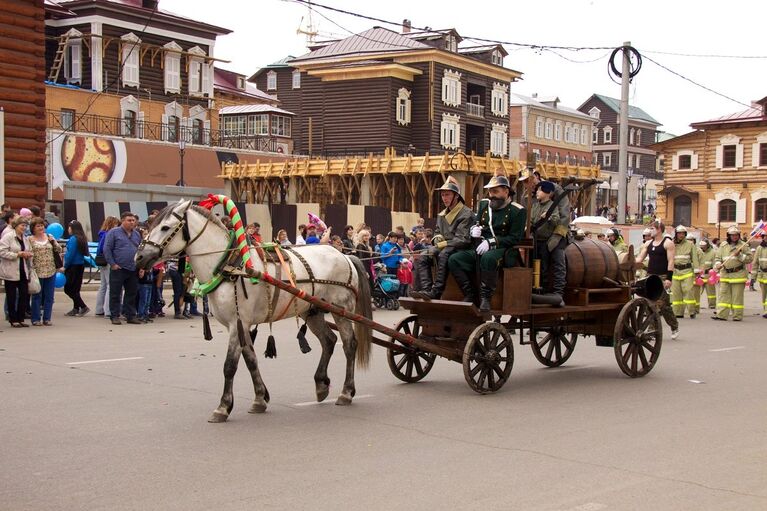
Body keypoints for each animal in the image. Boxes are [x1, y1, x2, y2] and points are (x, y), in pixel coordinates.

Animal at [136, 200, 376, 424]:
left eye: (165, 227)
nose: (139, 258)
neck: (229, 266)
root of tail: (344, 256)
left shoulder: (237, 322)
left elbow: (230, 365)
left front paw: (223, 407)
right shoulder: (242, 324)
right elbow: (250, 359)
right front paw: (260, 398)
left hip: (341, 309)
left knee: (349, 344)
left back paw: (346, 392)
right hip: (313, 310)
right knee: (328, 340)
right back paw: (321, 384)